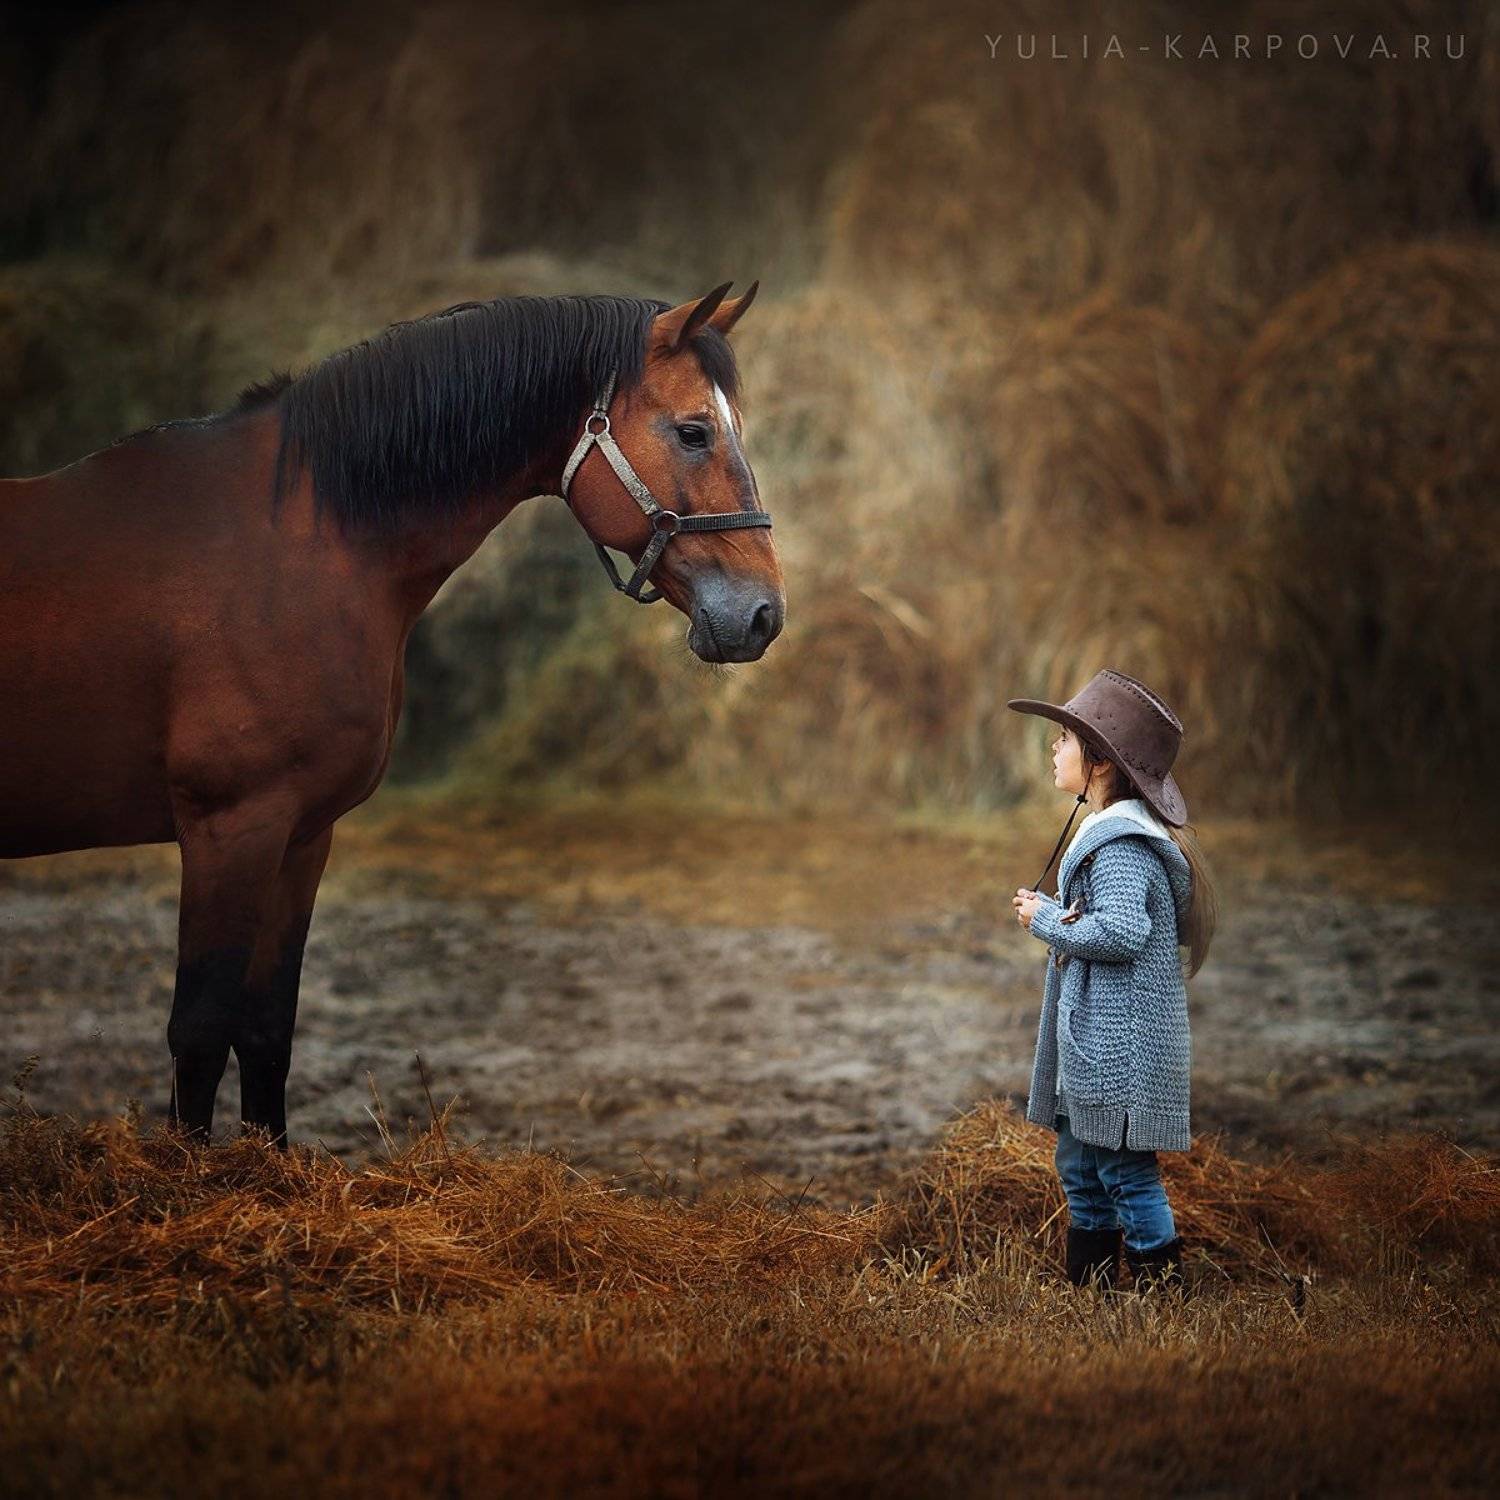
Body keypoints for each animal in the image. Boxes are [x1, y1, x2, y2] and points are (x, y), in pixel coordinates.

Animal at [0, 280, 783, 1144]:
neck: (299, 546)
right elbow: (200, 1031)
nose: (762, 616)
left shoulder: (301, 833)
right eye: (693, 432)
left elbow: (265, 1028)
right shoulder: (227, 828)